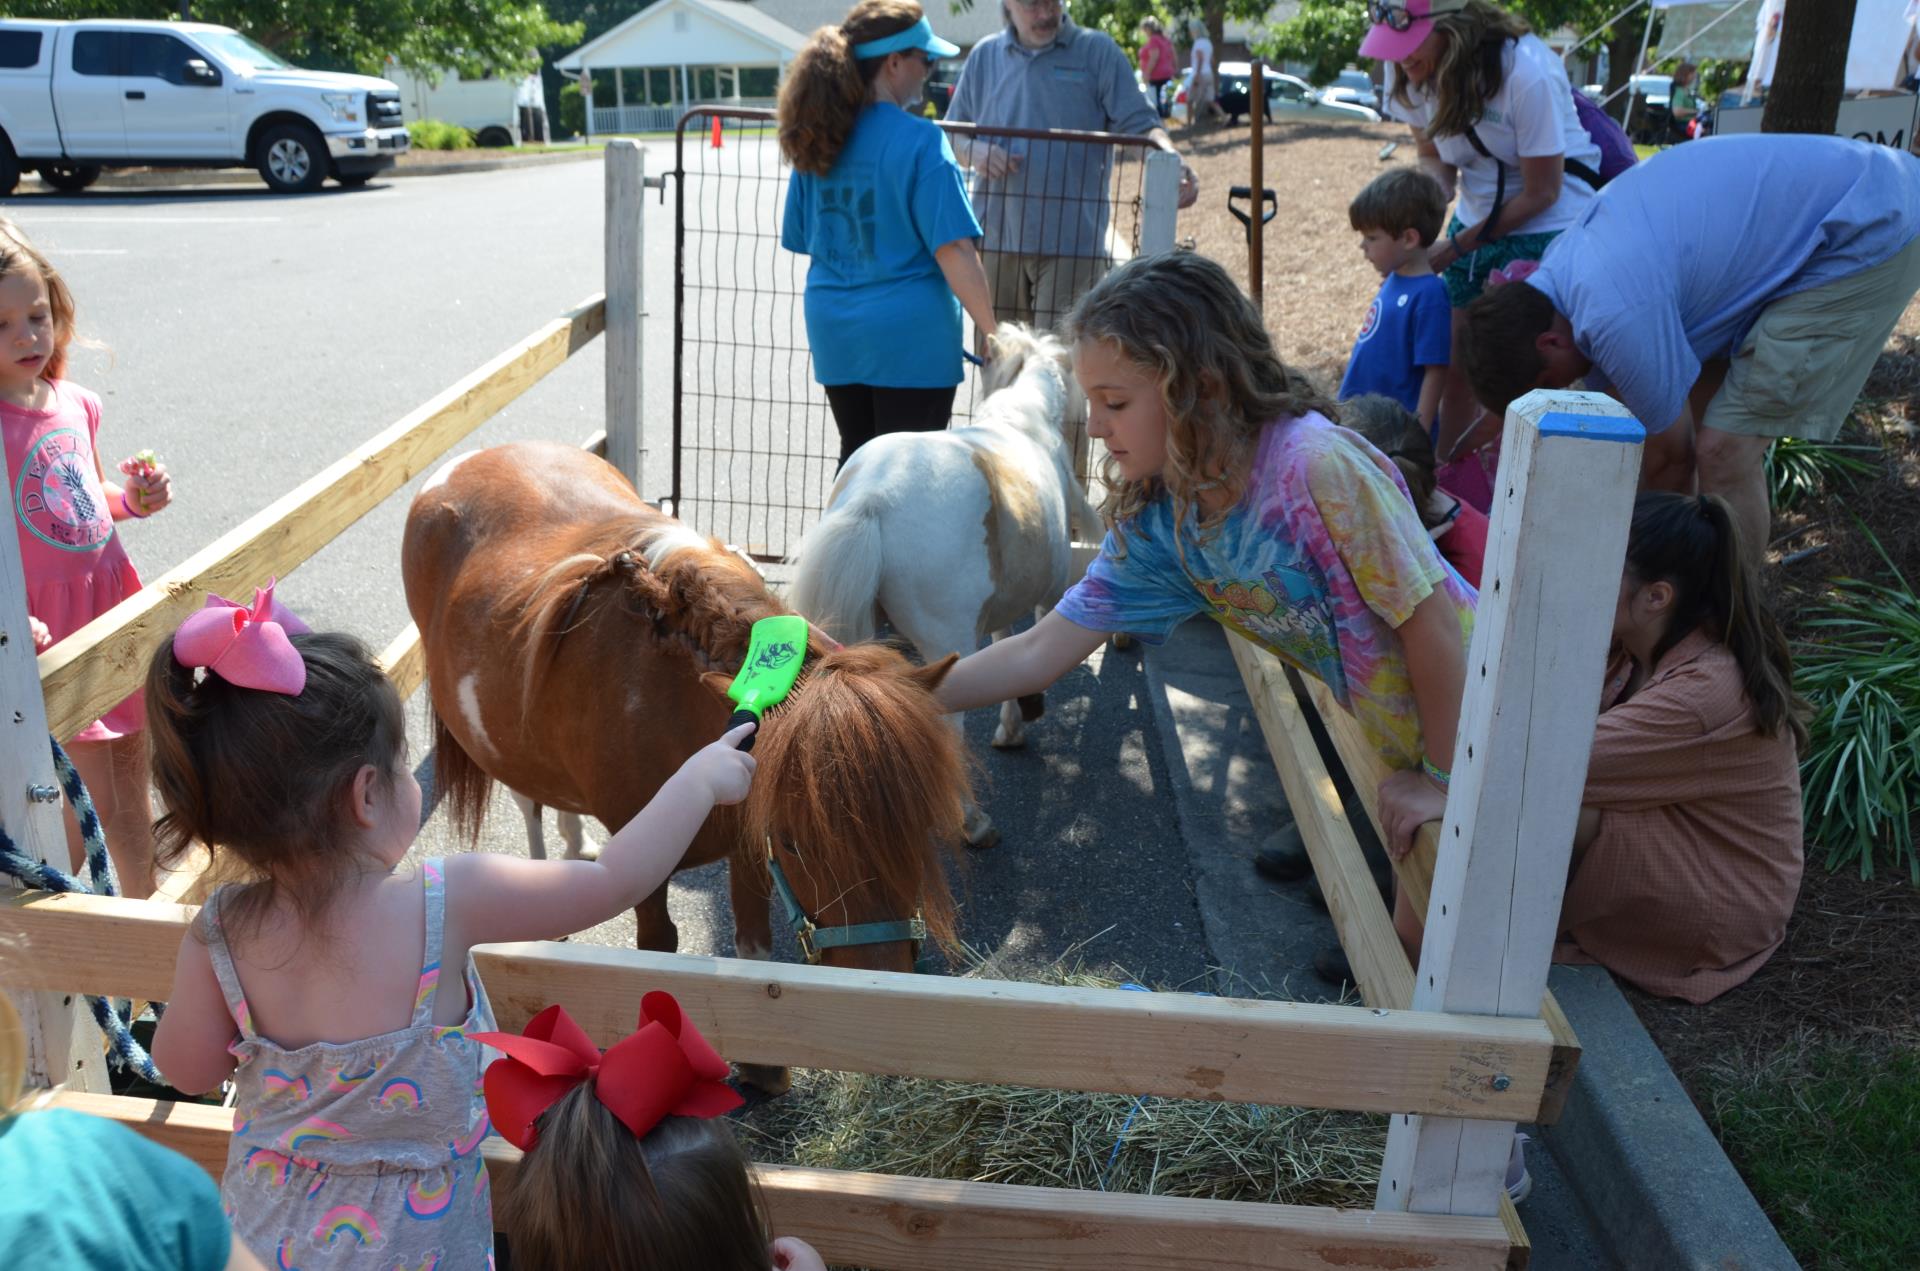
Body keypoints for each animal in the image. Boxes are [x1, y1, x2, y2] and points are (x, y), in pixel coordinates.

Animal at [405, 447, 975, 1082]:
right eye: (796, 842)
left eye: (919, 827)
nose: (883, 987)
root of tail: (476, 456)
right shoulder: (652, 868)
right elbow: (658, 954)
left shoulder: (749, 842)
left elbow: (754, 948)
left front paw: (764, 1070)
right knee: (527, 799)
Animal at [791, 324, 1098, 852]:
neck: (1025, 423)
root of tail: (874, 497)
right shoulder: (1049, 594)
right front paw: (1024, 714)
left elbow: (1006, 642)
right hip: (945, 641)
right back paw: (974, 824)